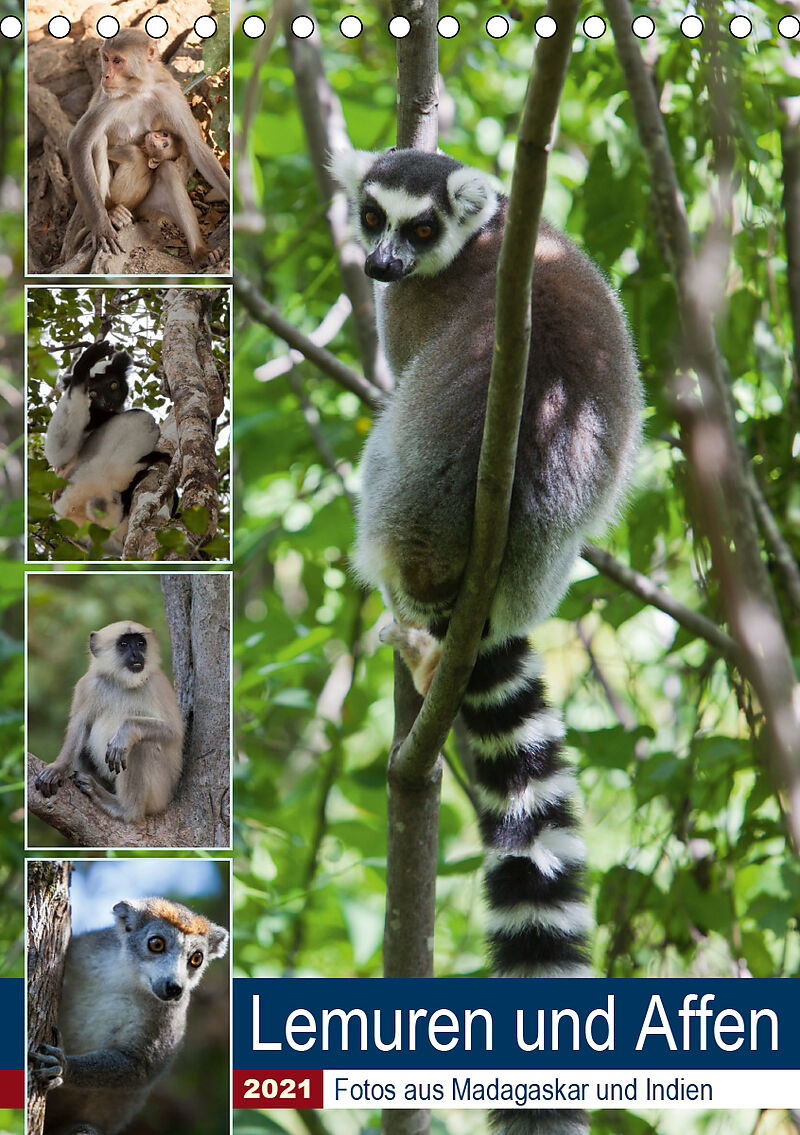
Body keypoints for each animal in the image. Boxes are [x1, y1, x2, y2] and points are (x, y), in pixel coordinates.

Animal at [31, 894, 224, 1135]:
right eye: (156, 944)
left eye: (196, 958)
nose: (174, 988)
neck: (127, 978)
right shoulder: (84, 948)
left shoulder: (170, 1016)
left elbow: (140, 1068)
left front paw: (64, 1069)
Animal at [35, 621, 183, 826]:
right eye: (124, 644)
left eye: (140, 643)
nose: (136, 655)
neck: (123, 683)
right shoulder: (89, 684)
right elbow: (80, 725)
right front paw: (58, 768)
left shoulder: (156, 683)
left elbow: (174, 732)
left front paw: (124, 734)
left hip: (160, 795)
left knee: (140, 745)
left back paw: (123, 808)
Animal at [66, 31, 229, 265]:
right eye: (106, 58)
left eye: (118, 61)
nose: (105, 76)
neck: (140, 89)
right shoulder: (110, 98)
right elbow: (79, 142)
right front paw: (102, 227)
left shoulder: (169, 91)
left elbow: (195, 145)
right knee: (99, 140)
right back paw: (111, 213)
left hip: (144, 208)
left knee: (168, 171)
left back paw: (200, 252)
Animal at [331, 150, 644, 1135]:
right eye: (371, 215)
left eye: (421, 228)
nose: (381, 264)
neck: (490, 239)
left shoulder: (418, 311)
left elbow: (402, 362)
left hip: (407, 513)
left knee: (386, 458)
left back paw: (408, 628)